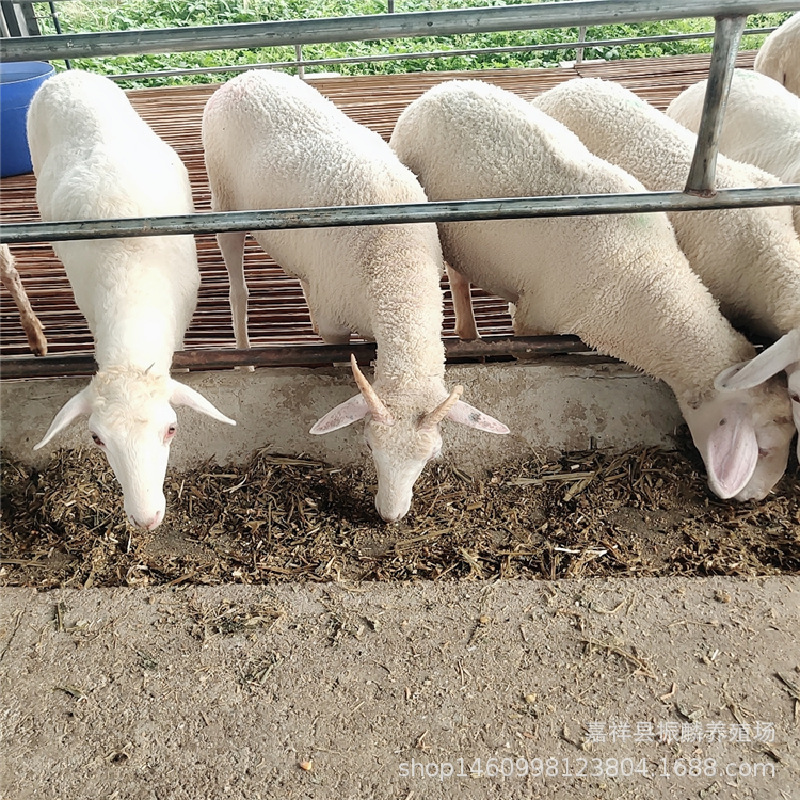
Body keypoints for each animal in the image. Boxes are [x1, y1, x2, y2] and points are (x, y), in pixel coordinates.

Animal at [201, 69, 509, 523]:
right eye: (367, 445)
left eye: (432, 457)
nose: (390, 516)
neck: (397, 279)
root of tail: (246, 77)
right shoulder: (336, 324)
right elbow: (333, 353)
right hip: (224, 202)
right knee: (238, 290)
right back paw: (244, 356)